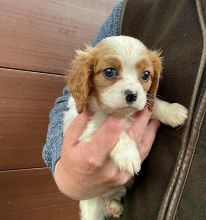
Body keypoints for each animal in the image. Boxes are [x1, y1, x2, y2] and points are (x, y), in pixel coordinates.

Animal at [64, 36, 188, 220]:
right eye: (109, 72)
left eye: (146, 75)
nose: (132, 95)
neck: (119, 114)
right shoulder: (86, 133)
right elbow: (114, 133)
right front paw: (128, 154)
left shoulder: (143, 102)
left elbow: (152, 105)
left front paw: (173, 112)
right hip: (91, 205)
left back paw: (113, 207)